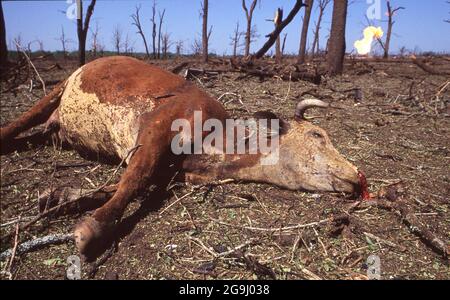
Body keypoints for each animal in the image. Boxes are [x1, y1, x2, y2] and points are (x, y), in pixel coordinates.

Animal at [0, 56, 360, 255]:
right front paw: (91, 228)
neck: (213, 143)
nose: (358, 175)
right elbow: (133, 181)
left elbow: (120, 186)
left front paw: (60, 198)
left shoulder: (170, 172)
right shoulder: (156, 130)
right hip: (59, 87)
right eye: (317, 135)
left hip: (57, 127)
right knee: (18, 123)